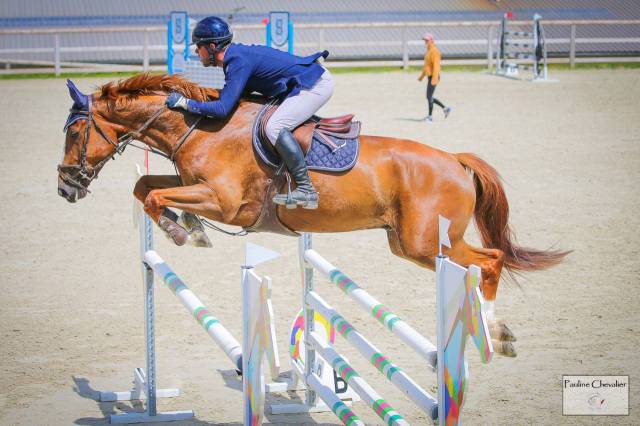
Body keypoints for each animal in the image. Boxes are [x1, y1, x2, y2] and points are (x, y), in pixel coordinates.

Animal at [57, 73, 568, 357]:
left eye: (75, 132)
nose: (65, 187)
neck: (203, 128)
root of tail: (455, 159)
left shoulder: (226, 202)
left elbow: (157, 198)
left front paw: (185, 232)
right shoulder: (193, 184)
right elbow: (145, 188)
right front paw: (187, 227)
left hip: (427, 243)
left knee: (490, 260)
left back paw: (497, 332)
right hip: (408, 242)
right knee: (487, 260)